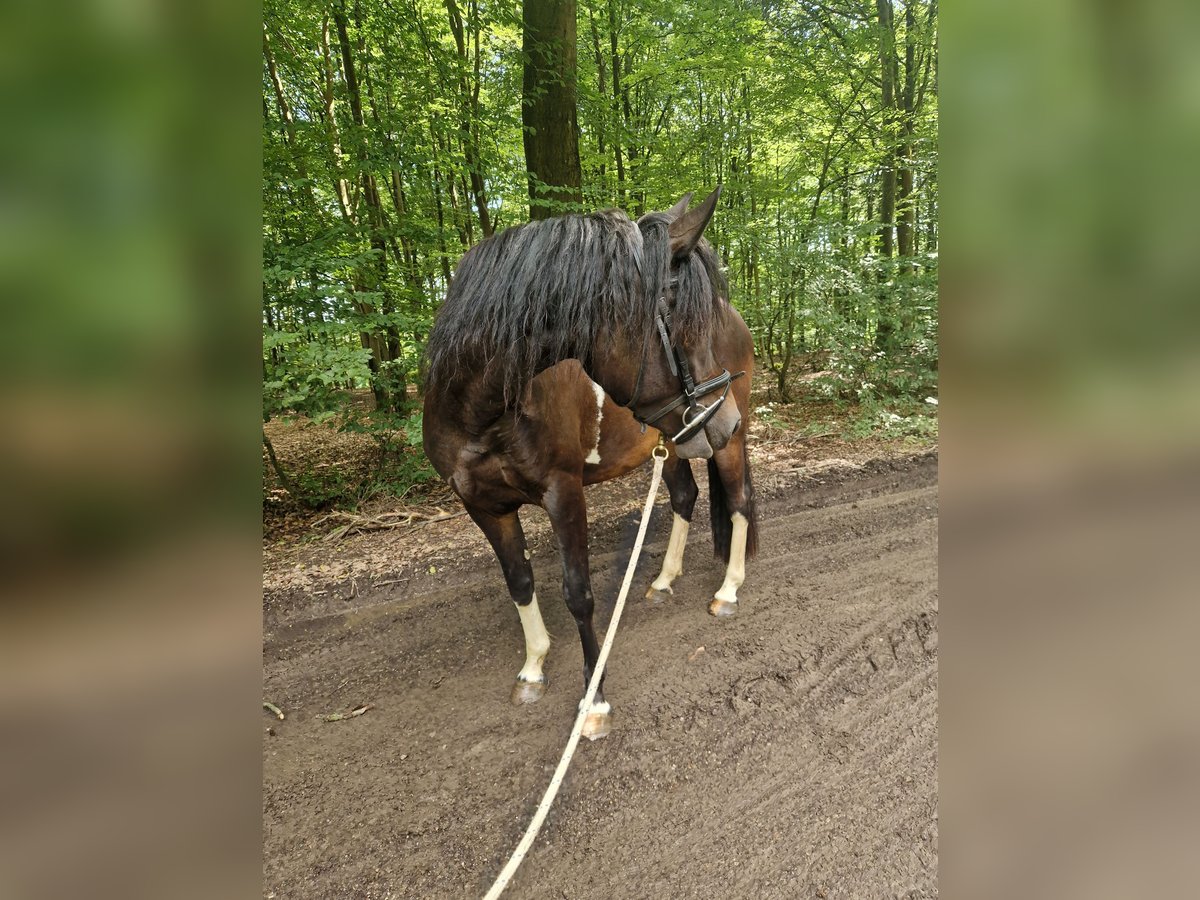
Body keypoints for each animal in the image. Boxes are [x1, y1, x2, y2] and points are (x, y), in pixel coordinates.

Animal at [427, 190, 753, 739]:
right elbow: (520, 581)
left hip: (719, 446)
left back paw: (729, 590)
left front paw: (594, 699)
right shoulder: (483, 506)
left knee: (739, 500)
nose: (724, 418)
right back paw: (664, 580)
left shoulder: (564, 492)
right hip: (673, 442)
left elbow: (578, 593)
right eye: (684, 329)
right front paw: (533, 667)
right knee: (686, 497)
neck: (484, 409)